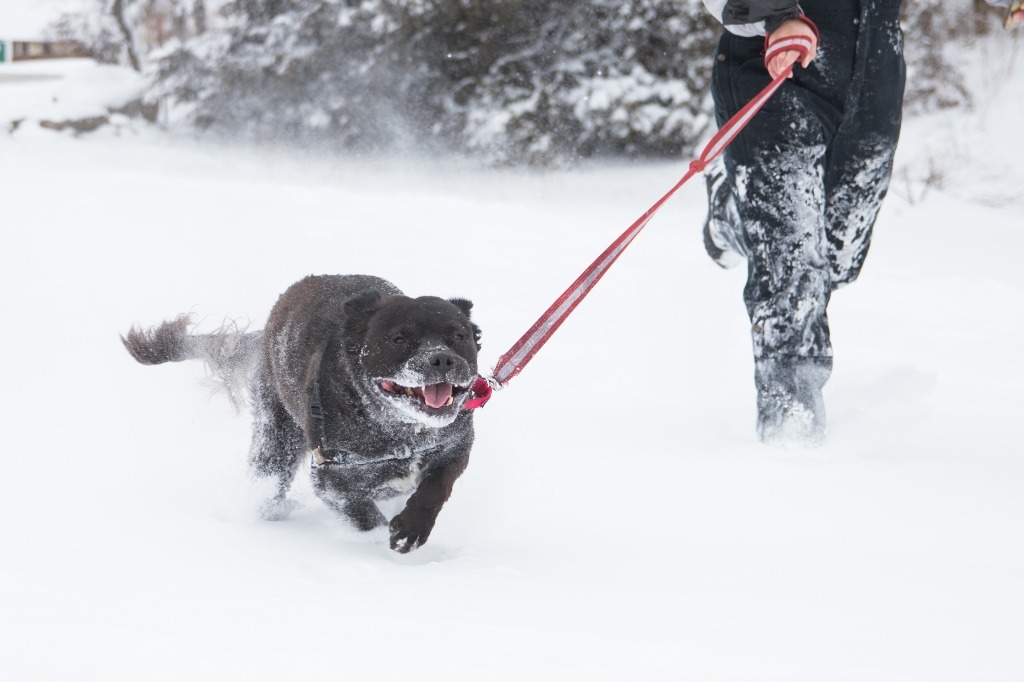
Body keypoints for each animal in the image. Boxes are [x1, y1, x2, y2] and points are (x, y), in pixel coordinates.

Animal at [121, 274, 481, 548]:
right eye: (399, 338)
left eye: (459, 335)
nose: (442, 359)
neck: (403, 433)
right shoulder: (330, 478)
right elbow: (364, 517)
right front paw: (382, 539)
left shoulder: (455, 448)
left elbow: (435, 487)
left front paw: (411, 528)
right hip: (276, 440)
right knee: (268, 486)